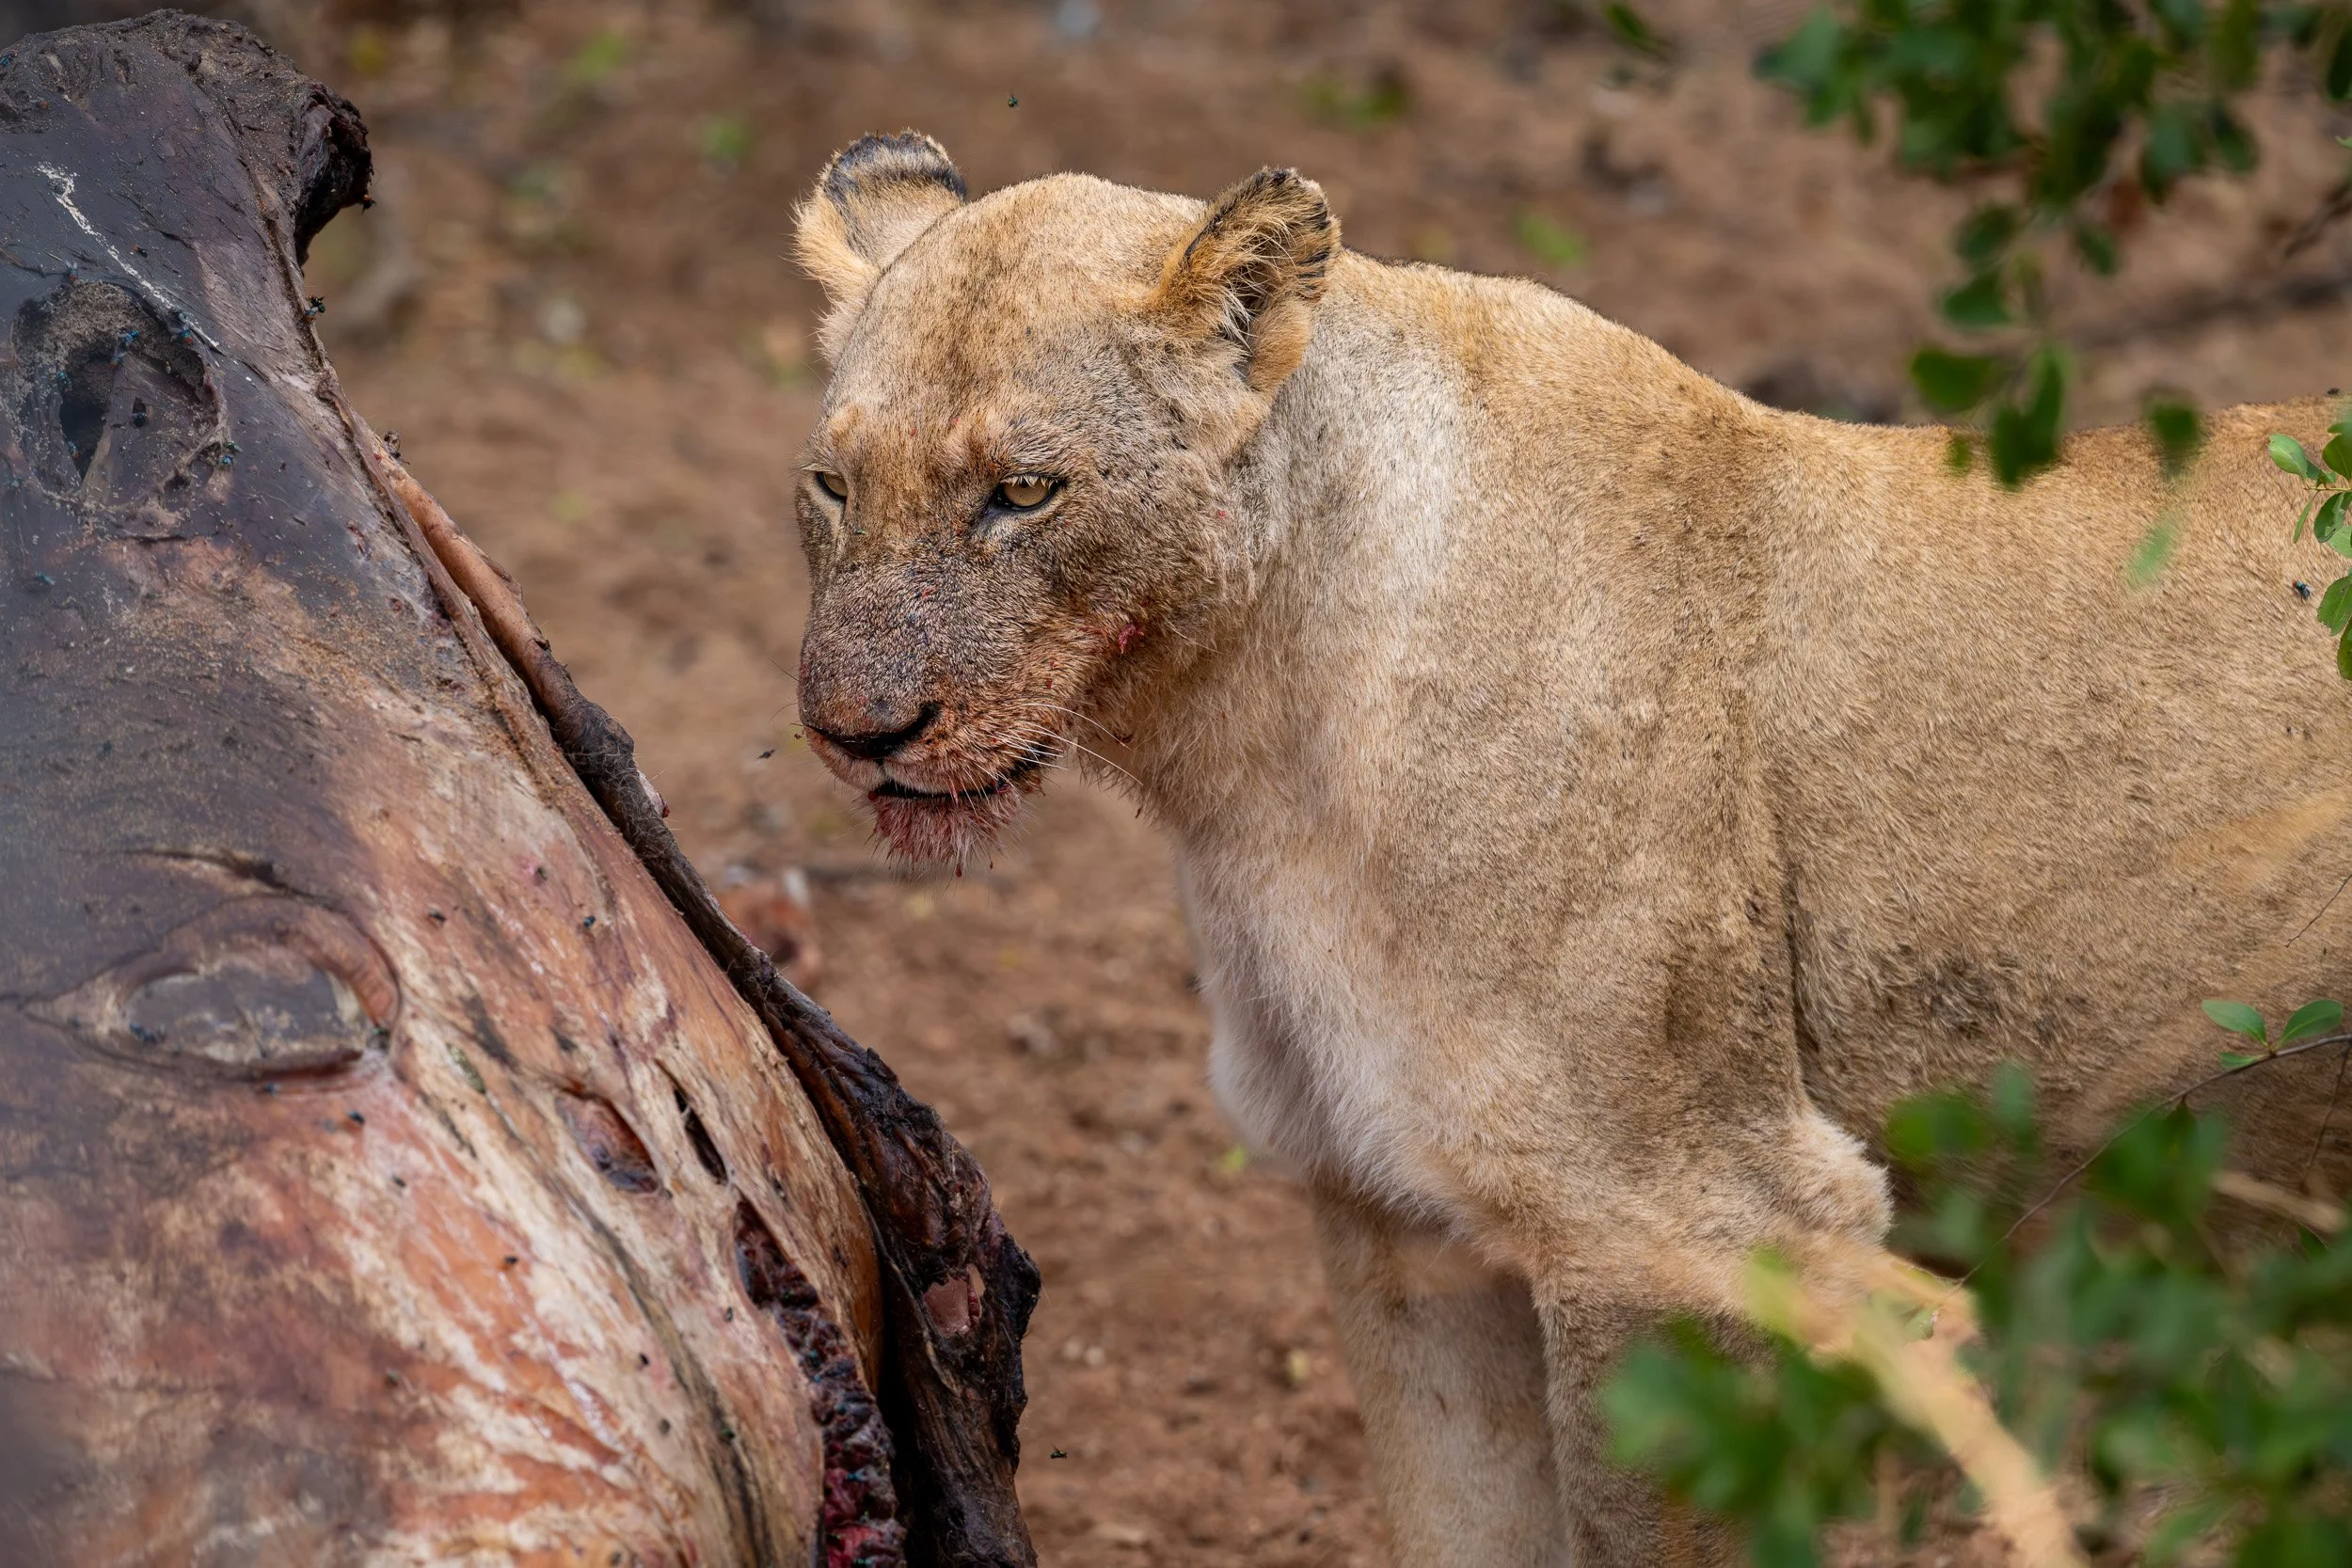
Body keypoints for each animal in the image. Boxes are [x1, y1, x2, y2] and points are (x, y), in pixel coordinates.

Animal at [788, 130, 2352, 1565]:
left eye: (1025, 491)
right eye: (831, 484)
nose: (853, 731)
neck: (1247, 754)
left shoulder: (1687, 1220)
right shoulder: (1391, 1214)